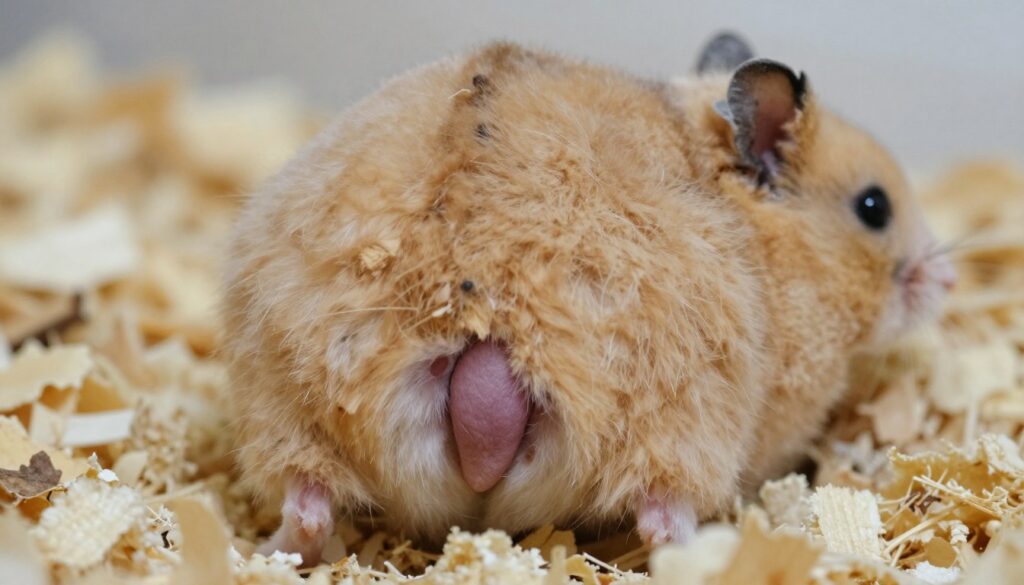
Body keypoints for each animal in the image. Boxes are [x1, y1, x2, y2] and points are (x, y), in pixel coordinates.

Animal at [223, 33, 955, 563]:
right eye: (873, 207)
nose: (945, 279)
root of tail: (474, 296)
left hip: (285, 398)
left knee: (306, 505)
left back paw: (265, 552)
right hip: (683, 427)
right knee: (663, 523)